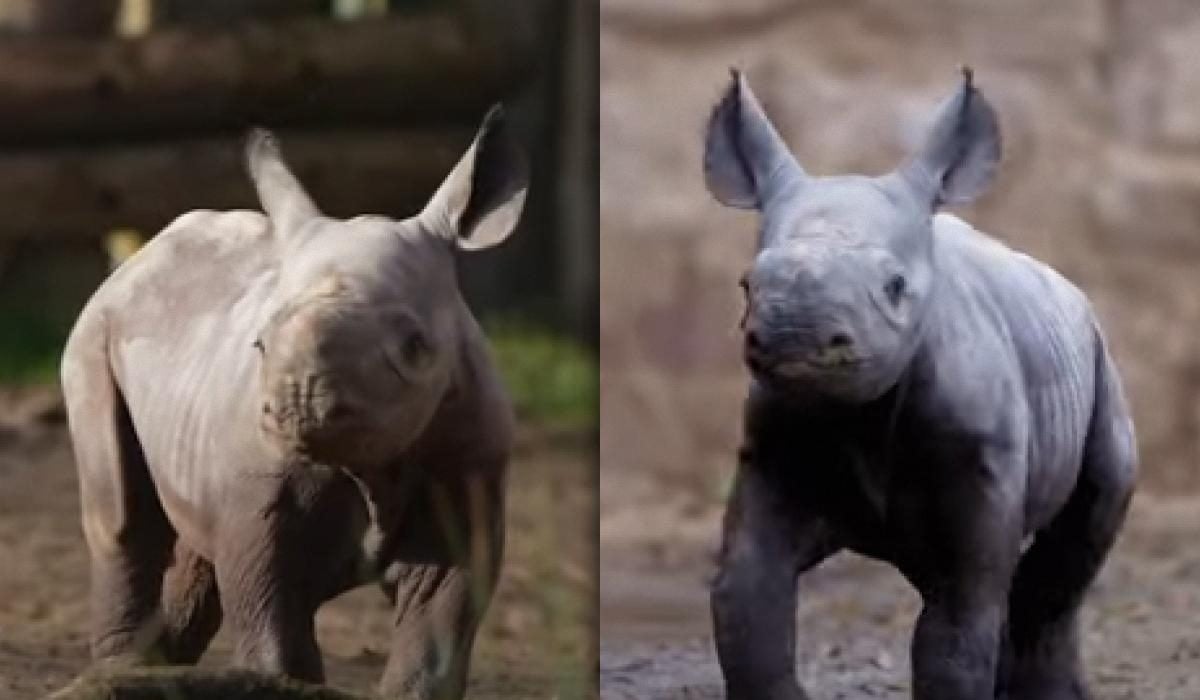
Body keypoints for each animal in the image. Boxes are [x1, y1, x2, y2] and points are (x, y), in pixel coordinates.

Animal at [60, 105, 528, 700]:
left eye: (416, 346)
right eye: (260, 343)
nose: (297, 402)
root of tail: (140, 257)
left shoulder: (466, 466)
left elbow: (437, 624)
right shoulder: (260, 487)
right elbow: (273, 621)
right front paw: (278, 683)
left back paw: (155, 669)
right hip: (94, 330)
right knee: (122, 516)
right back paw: (122, 674)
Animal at [705, 69, 1137, 700]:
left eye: (895, 286)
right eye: (745, 285)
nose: (795, 335)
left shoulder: (979, 455)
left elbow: (955, 630)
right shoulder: (775, 442)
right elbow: (747, 595)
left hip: (1101, 362)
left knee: (1070, 547)